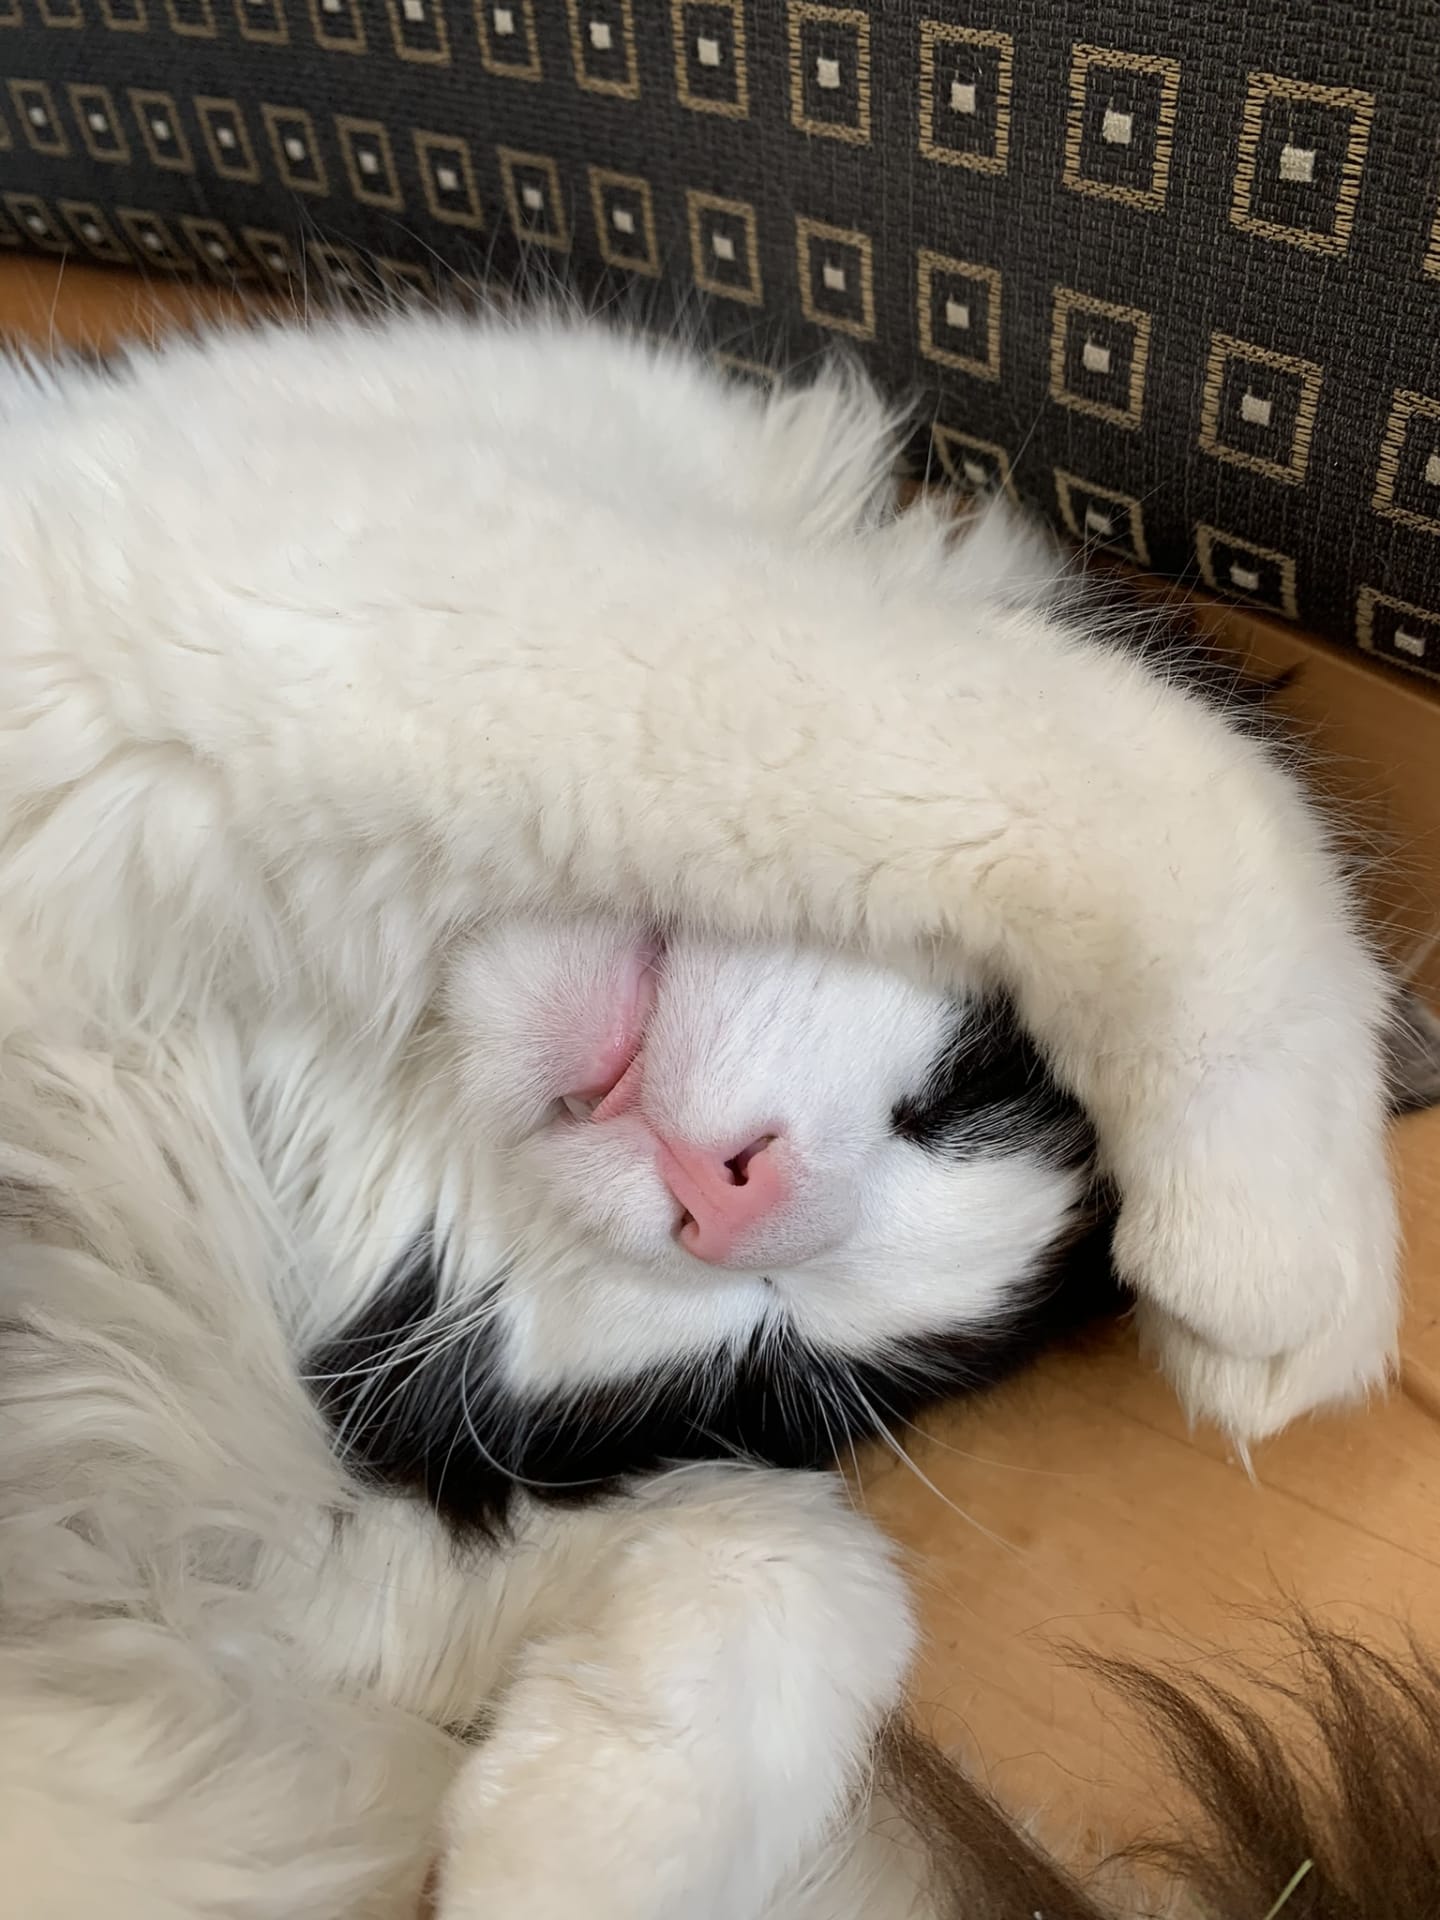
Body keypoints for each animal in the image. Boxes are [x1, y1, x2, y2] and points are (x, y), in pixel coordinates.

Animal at [0, 308, 1431, 1917]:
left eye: (768, 1338)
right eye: (961, 1096)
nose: (731, 1194)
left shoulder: (228, 1577)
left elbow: (820, 1575)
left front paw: (565, 1849)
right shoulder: (359, 581)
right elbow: (1102, 761)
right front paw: (1297, 1252)